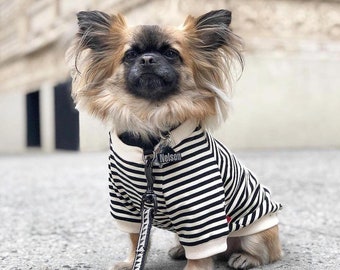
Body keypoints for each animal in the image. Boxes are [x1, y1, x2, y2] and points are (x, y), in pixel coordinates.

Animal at [65, 9, 282, 268]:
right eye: (130, 54)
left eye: (171, 53)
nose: (147, 59)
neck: (150, 141)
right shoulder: (128, 206)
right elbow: (136, 239)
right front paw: (132, 261)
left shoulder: (200, 208)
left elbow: (201, 253)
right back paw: (181, 250)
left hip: (256, 230)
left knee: (265, 252)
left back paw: (244, 257)